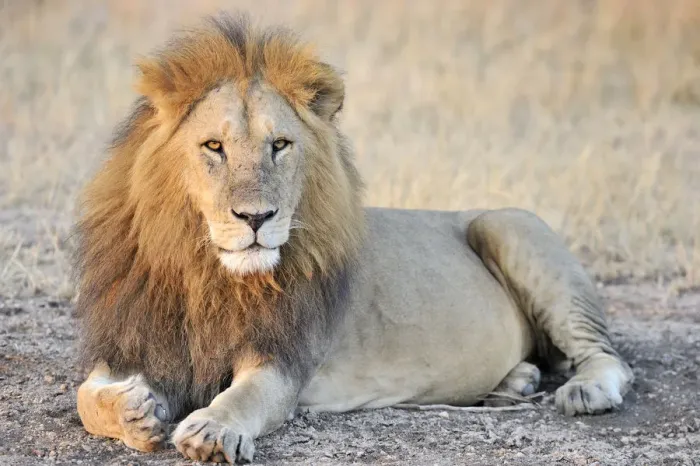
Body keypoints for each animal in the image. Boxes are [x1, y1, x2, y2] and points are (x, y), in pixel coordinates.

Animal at [74, 14, 633, 464]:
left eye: (280, 145)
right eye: (213, 147)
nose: (257, 217)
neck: (203, 273)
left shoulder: (283, 362)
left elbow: (242, 398)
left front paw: (211, 429)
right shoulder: (136, 340)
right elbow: (85, 397)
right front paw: (132, 410)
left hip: (509, 226)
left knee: (609, 357)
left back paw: (586, 391)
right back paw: (517, 380)